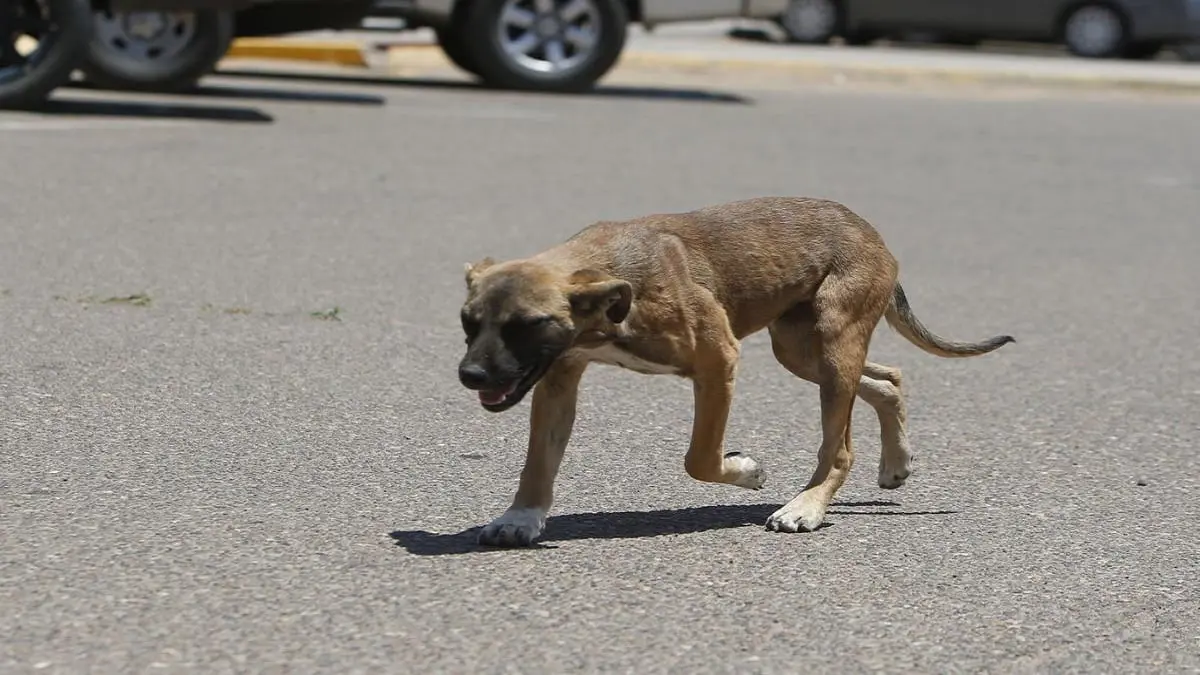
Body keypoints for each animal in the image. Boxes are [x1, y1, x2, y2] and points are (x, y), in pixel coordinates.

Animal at [458, 195, 1012, 547]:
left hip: (835, 345)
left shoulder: (717, 361)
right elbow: (538, 461)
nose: (470, 376)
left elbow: (699, 459)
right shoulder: (557, 377)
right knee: (886, 380)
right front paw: (521, 516)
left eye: (527, 325)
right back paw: (895, 463)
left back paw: (807, 505)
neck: (615, 286)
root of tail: (871, 232)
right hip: (801, 350)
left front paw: (745, 471)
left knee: (839, 449)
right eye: (467, 320)